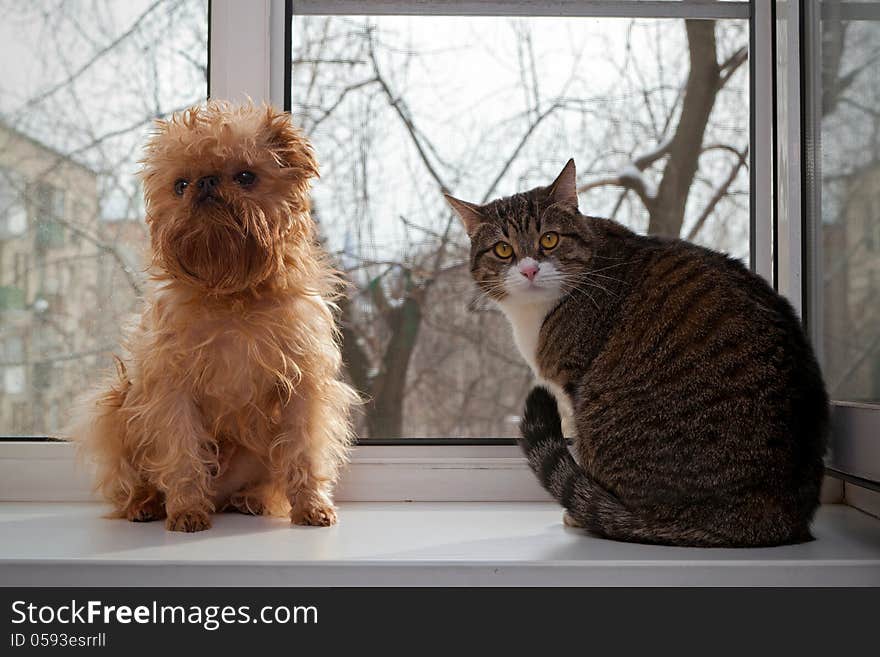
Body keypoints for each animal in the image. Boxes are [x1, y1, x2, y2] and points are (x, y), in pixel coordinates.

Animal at [70, 104, 356, 532]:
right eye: (180, 185)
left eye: (246, 176)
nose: (204, 183)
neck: (231, 296)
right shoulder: (171, 390)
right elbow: (183, 451)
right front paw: (187, 510)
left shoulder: (304, 387)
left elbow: (303, 450)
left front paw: (311, 505)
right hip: (116, 406)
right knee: (130, 477)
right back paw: (145, 503)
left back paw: (250, 498)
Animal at [450, 160, 828, 548]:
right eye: (503, 250)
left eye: (549, 239)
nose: (528, 270)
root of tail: (774, 518)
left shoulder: (575, 383)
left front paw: (579, 512)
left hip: (599, 405)